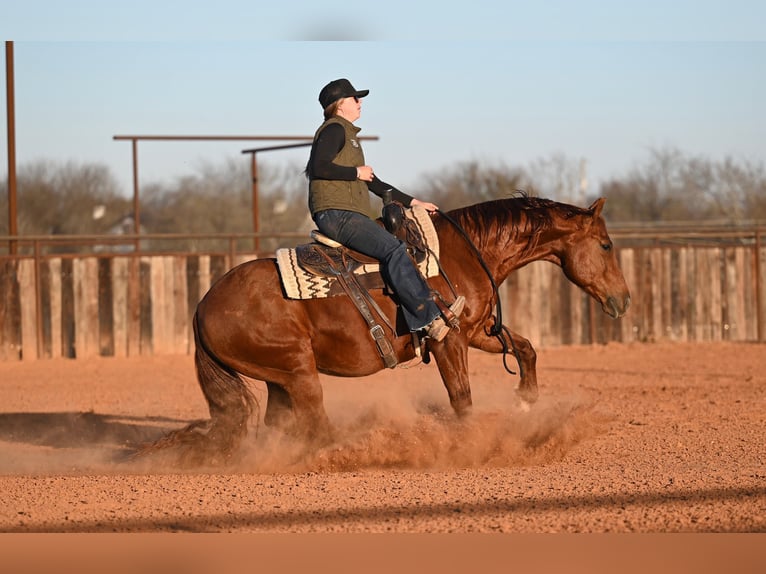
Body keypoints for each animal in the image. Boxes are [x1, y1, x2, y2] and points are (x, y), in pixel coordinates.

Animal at [151, 195, 630, 464]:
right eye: (606, 245)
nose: (623, 300)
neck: (463, 253)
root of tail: (203, 304)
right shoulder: (448, 340)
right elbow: (461, 400)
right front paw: (474, 445)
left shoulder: (475, 331)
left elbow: (527, 348)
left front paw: (528, 400)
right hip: (298, 371)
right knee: (316, 427)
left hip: (280, 380)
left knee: (282, 427)